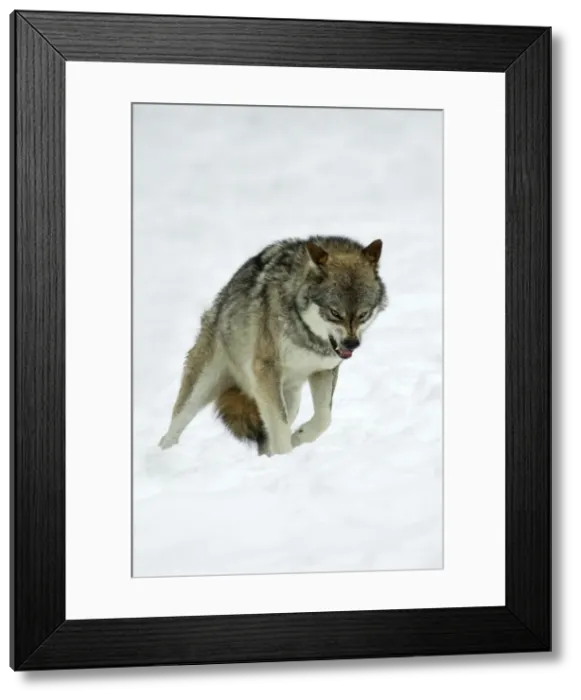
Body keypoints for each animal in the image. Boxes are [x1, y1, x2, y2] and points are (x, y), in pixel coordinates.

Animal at [158, 235, 388, 457]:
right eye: (335, 313)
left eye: (363, 314)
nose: (352, 344)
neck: (306, 333)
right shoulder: (266, 370)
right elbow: (280, 427)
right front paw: (287, 454)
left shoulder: (324, 370)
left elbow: (324, 419)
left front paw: (298, 437)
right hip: (203, 388)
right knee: (172, 430)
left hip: (289, 398)